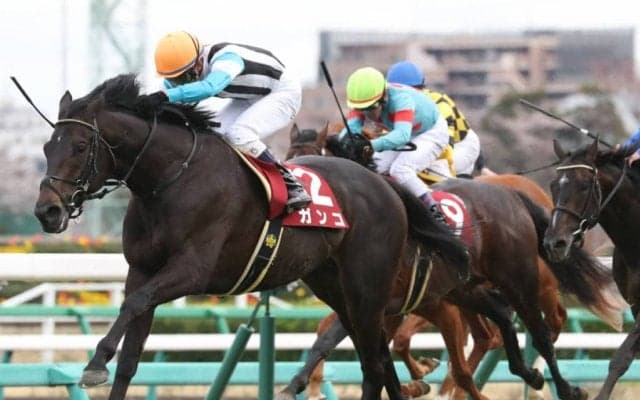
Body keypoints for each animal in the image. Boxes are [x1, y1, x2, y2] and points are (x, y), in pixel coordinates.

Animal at [33, 74, 469, 400]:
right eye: (47, 146)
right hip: (336, 285)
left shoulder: (192, 270)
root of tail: (384, 185)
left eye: (80, 145)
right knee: (374, 359)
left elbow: (134, 304)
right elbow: (130, 353)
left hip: (368, 286)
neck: (170, 179)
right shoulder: (142, 270)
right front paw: (106, 363)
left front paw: (94, 364)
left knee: (374, 364)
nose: (47, 211)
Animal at [284, 126, 619, 400]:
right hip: (467, 289)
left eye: (310, 166)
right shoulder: (381, 304)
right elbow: (330, 339)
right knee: (497, 325)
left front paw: (421, 381)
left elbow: (390, 346)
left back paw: (561, 386)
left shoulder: (401, 302)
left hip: (525, 280)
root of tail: (513, 193)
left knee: (544, 327)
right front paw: (299, 384)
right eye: (289, 158)